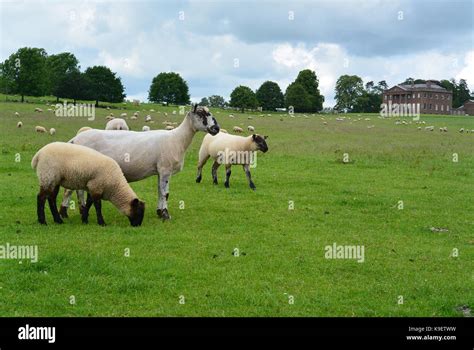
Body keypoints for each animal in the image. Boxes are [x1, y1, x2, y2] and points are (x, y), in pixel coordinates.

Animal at [61, 103, 220, 221]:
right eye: (201, 114)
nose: (216, 128)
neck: (177, 139)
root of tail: (75, 139)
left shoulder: (160, 171)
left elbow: (159, 191)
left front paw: (159, 212)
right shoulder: (165, 169)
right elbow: (165, 193)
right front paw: (166, 215)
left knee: (76, 190)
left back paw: (76, 211)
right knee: (72, 190)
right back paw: (69, 212)